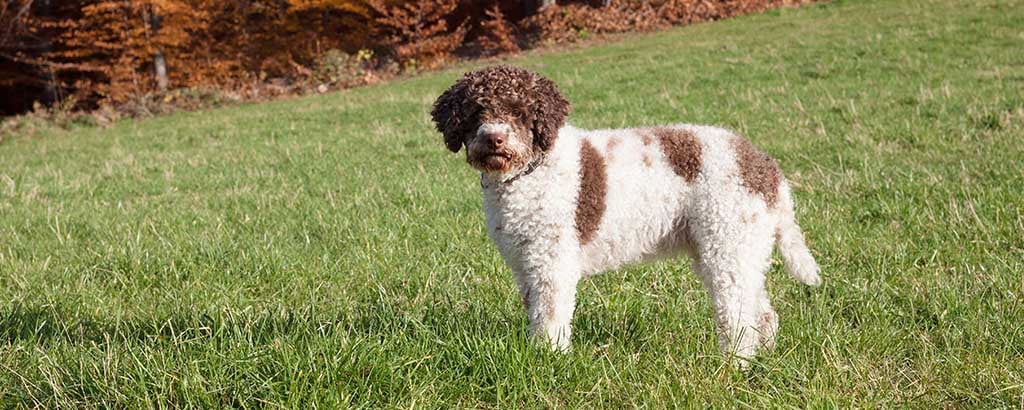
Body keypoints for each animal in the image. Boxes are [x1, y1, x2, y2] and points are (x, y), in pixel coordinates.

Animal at [428, 64, 819, 362]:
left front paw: (548, 360)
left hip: (727, 243)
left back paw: (734, 363)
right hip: (740, 248)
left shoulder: (552, 263)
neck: (531, 170)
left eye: (520, 112)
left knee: (738, 315)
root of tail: (765, 166)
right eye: (475, 112)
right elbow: (536, 312)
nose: (494, 139)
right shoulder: (526, 264)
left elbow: (551, 317)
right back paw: (763, 356)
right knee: (762, 312)